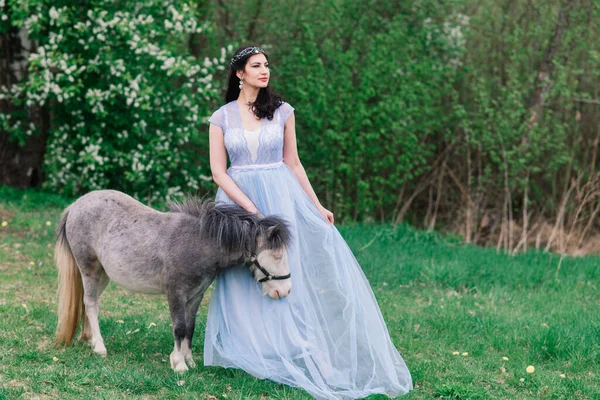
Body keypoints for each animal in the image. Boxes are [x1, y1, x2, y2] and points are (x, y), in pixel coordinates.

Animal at [54, 189, 292, 374]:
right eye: (277, 256)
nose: (286, 290)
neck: (199, 242)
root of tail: (74, 206)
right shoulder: (176, 294)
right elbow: (179, 328)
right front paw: (178, 364)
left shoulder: (196, 296)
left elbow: (190, 327)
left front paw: (189, 361)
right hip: (90, 270)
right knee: (91, 304)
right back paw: (99, 347)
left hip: (103, 275)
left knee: (88, 303)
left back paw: (89, 339)